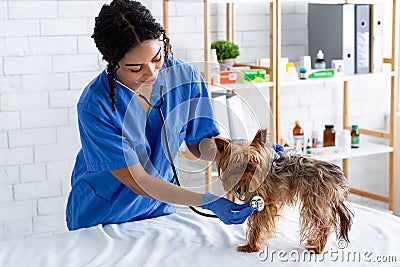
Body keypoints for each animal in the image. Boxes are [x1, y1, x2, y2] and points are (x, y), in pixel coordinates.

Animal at [212, 129, 354, 254]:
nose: (249, 166)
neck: (247, 179)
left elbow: (256, 226)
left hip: (314, 201)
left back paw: (317, 248)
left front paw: (251, 246)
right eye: (237, 160)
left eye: (254, 159)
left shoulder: (263, 203)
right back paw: (314, 242)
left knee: (324, 225)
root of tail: (336, 174)